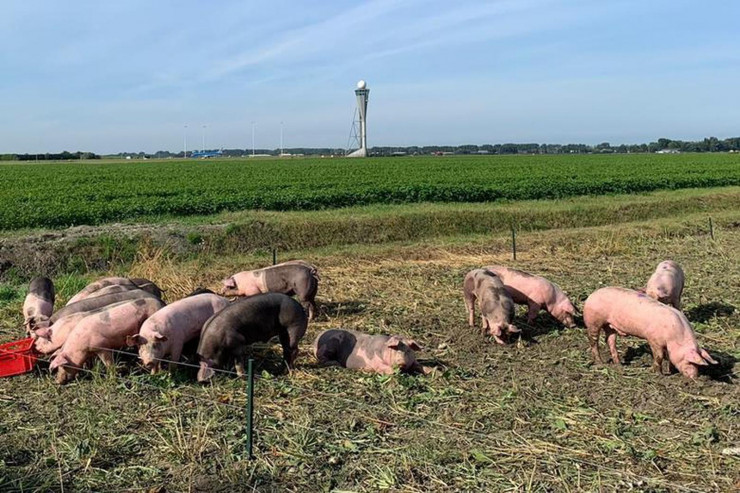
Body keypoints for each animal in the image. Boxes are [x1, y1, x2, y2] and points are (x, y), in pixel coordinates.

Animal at [584, 286, 716, 378]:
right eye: (690, 361)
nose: (695, 377)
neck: (676, 337)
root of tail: (591, 295)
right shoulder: (654, 340)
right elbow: (659, 356)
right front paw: (657, 373)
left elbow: (669, 357)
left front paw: (671, 371)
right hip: (593, 321)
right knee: (593, 340)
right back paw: (600, 362)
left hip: (609, 326)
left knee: (610, 340)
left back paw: (619, 364)